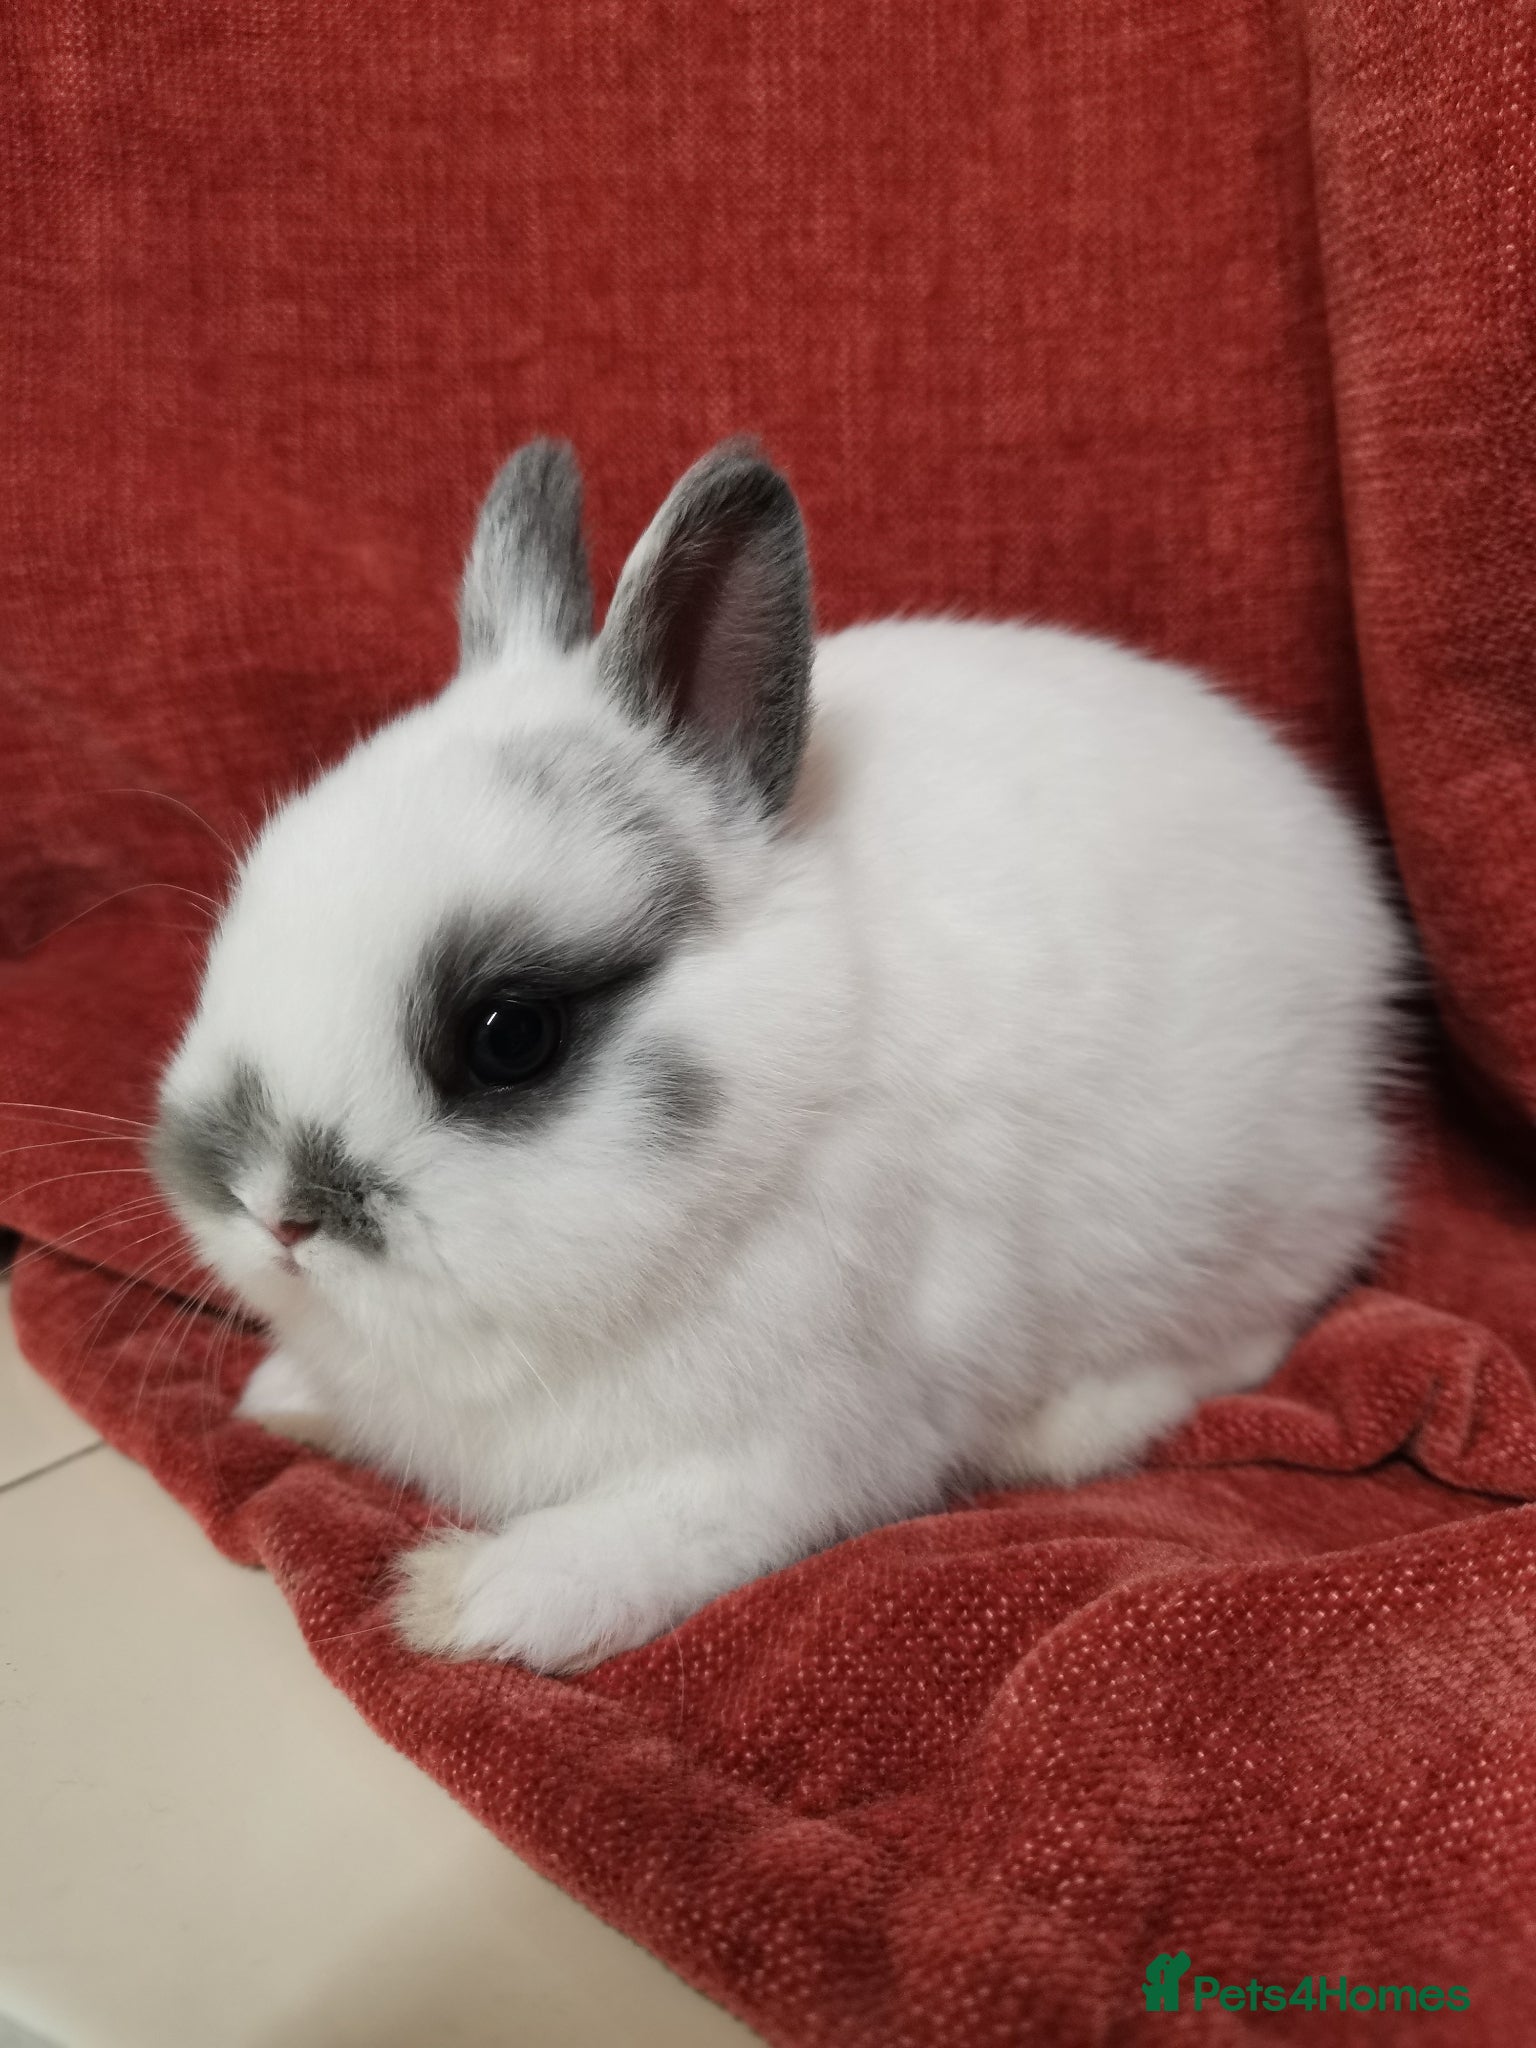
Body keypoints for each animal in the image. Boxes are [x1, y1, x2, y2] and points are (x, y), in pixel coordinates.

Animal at [151, 439, 1405, 1674]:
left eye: (510, 1034)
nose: (275, 1212)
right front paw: (281, 1399)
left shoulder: (797, 1448)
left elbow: (658, 1537)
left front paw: (468, 1599)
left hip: (1240, 1221)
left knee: (1239, 1337)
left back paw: (1061, 1431)